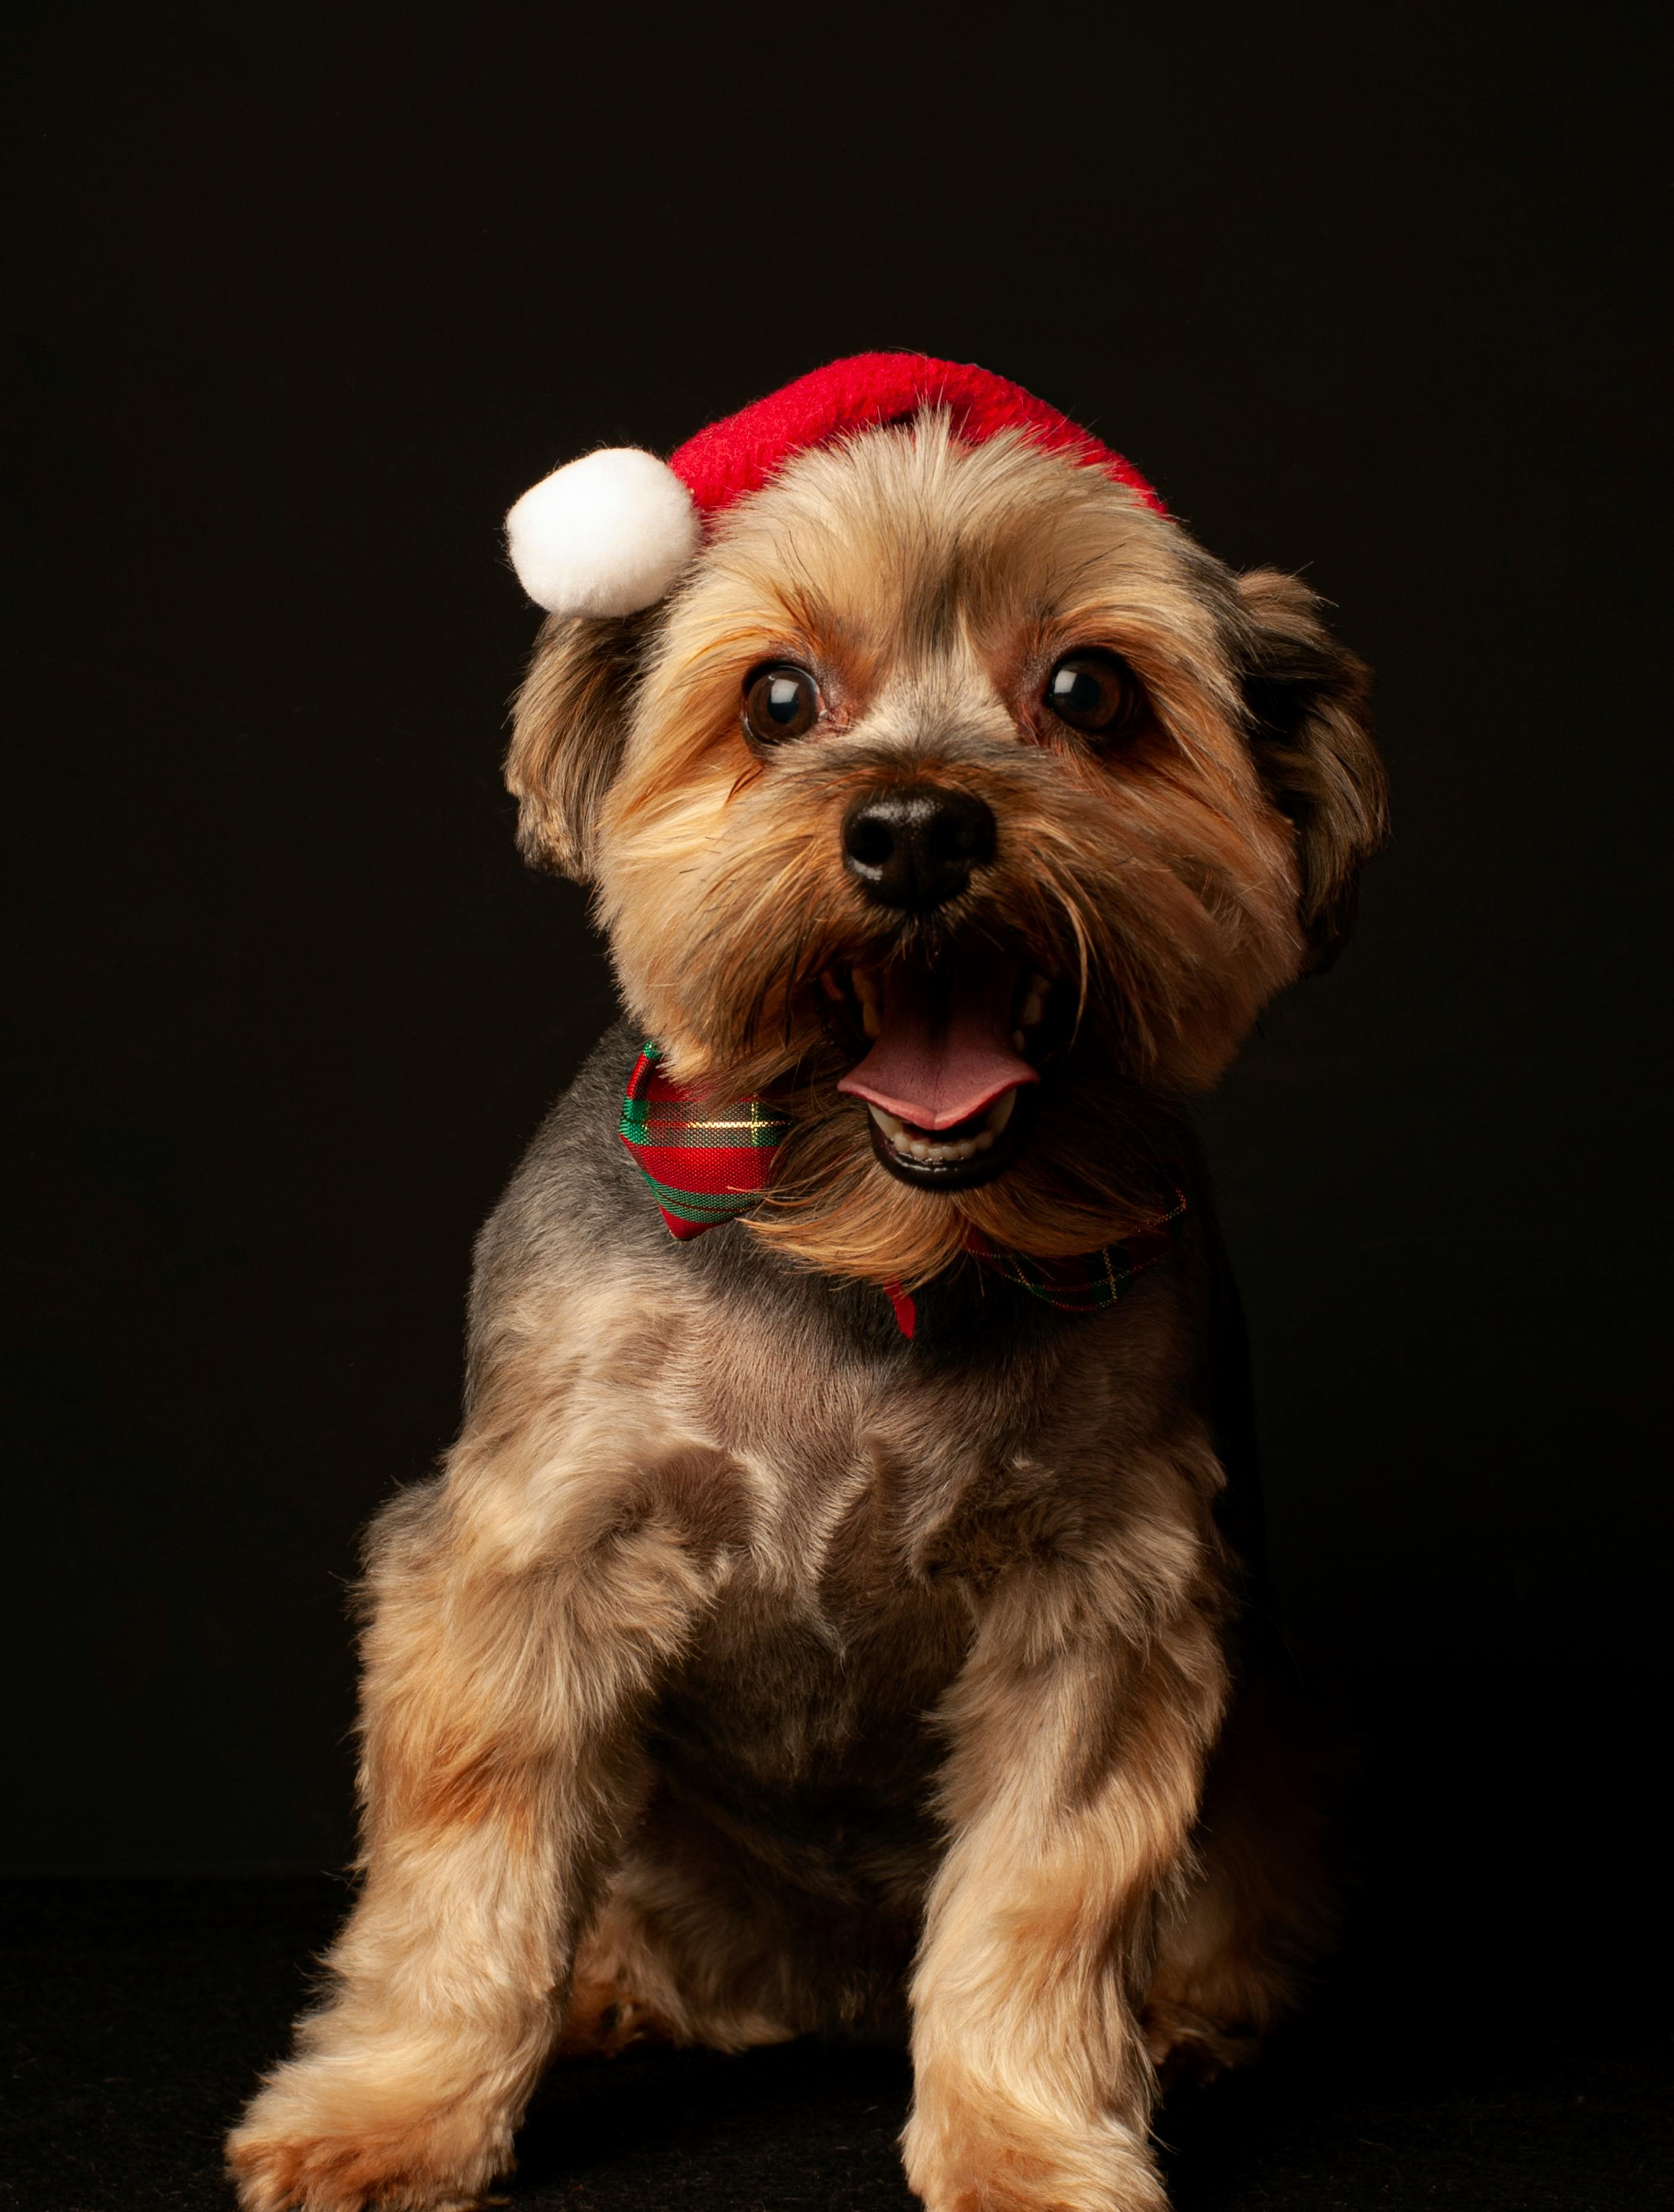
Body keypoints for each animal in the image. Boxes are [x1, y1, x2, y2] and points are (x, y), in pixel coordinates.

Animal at [229, 358, 1388, 2212]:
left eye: (1091, 688)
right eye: (776, 695)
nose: (914, 826)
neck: (868, 1251)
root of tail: (819, 1975)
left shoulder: (1101, 1595)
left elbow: (1039, 1893)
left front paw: (1026, 2141)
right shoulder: (524, 1557)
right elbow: (463, 1873)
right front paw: (393, 2112)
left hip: (1279, 1753)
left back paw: (1186, 2023)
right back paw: (611, 1995)